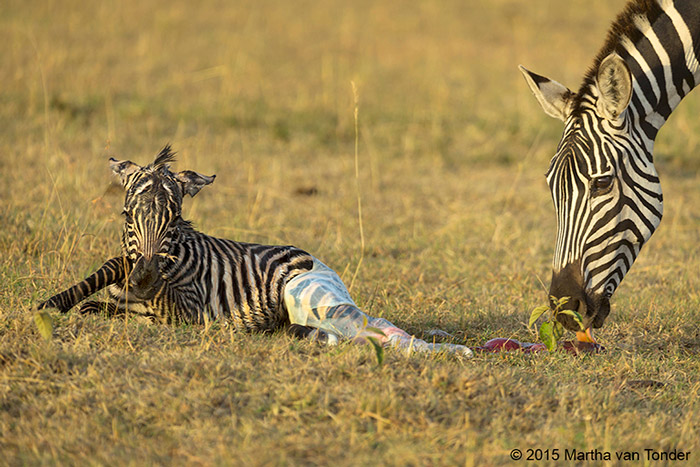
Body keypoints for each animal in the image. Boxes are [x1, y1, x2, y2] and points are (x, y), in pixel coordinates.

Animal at [39, 147, 476, 358]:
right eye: (127, 215)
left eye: (175, 220)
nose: (143, 281)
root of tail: (317, 262)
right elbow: (102, 294)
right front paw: (58, 303)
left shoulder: (191, 311)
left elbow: (132, 299)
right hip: (309, 312)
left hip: (309, 296)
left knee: (370, 329)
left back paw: (446, 351)